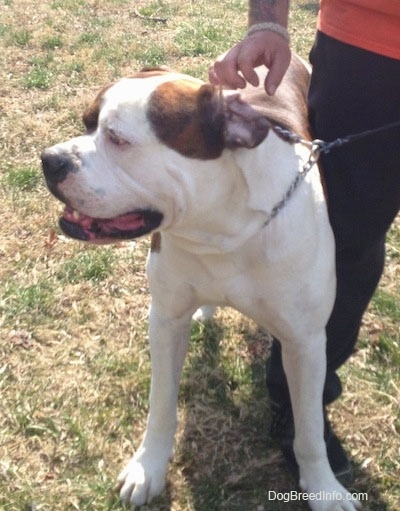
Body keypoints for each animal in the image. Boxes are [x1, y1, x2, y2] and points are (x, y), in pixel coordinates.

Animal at [41, 56, 360, 511]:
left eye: (118, 139)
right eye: (86, 123)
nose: (49, 160)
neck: (221, 230)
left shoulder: (306, 344)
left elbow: (310, 429)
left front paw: (324, 488)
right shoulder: (166, 319)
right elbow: (160, 404)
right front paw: (148, 467)